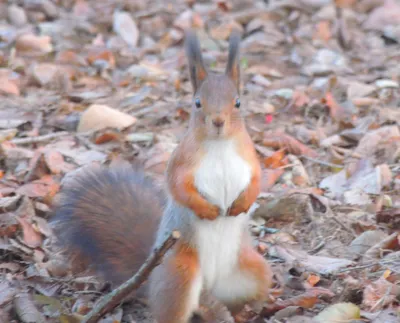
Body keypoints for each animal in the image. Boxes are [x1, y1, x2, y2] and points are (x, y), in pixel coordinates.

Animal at [50, 29, 272, 322]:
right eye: (197, 103)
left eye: (237, 102)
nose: (218, 121)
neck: (220, 144)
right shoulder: (181, 163)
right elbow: (179, 188)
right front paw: (208, 210)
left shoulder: (250, 160)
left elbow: (257, 181)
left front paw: (242, 203)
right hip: (180, 272)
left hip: (252, 270)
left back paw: (246, 311)